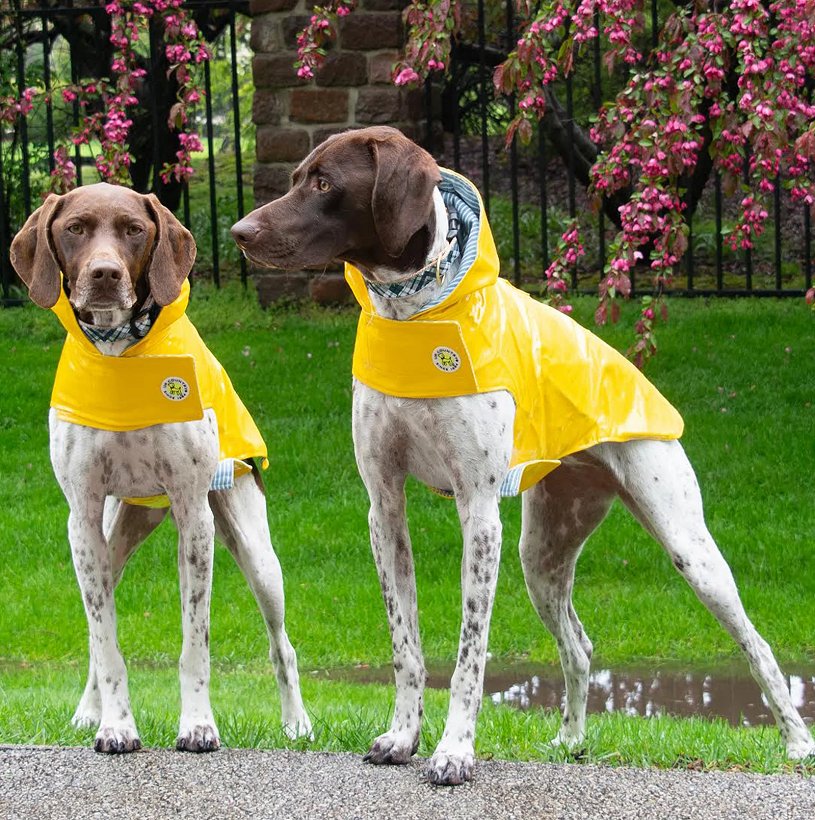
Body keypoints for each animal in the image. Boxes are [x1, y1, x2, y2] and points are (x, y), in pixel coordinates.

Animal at [11, 186, 310, 756]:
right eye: (75, 228)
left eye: (134, 229)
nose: (105, 274)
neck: (119, 354)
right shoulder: (82, 520)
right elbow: (105, 643)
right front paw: (115, 726)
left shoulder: (195, 518)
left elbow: (195, 642)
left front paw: (198, 725)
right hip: (113, 534)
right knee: (95, 631)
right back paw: (87, 712)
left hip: (257, 556)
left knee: (282, 645)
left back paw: (297, 724)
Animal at [231, 125, 815, 784]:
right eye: (295, 177)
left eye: (325, 182)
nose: (240, 232)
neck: (415, 312)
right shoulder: (384, 506)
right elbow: (406, 645)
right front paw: (403, 736)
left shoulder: (479, 511)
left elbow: (470, 652)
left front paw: (455, 751)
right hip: (542, 556)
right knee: (579, 646)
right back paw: (571, 740)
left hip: (689, 546)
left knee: (756, 644)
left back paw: (797, 743)